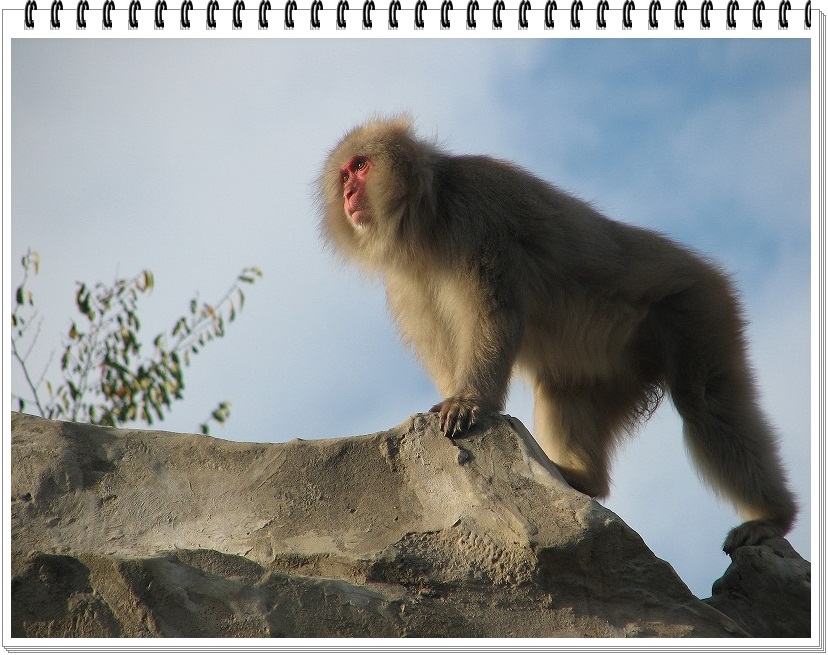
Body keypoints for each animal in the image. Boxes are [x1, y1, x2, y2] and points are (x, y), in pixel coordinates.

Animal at [316, 116, 796, 552]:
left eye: (361, 166)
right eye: (344, 175)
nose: (349, 193)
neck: (428, 218)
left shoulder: (479, 211)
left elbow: (493, 312)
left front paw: (470, 401)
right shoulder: (404, 281)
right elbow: (443, 340)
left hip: (698, 304)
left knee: (706, 403)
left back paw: (773, 517)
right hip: (609, 373)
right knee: (564, 391)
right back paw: (582, 479)